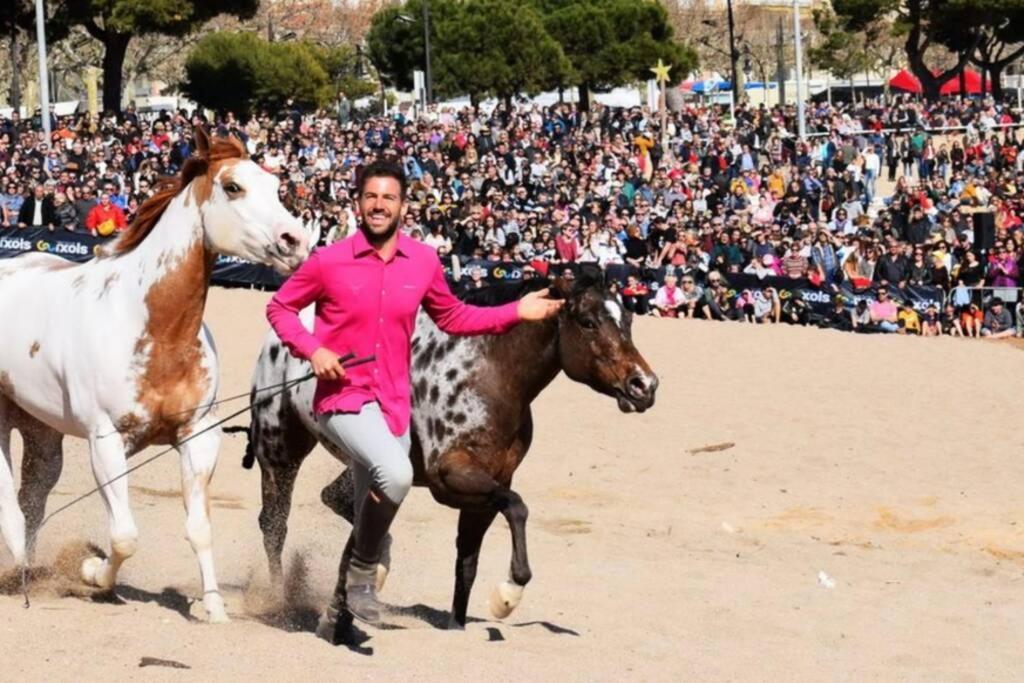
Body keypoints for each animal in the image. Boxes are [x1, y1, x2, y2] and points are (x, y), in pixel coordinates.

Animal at [0, 129, 307, 626]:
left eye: (277, 185)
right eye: (233, 187)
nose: (295, 241)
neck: (156, 330)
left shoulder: (198, 435)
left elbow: (199, 528)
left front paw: (214, 607)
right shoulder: (105, 441)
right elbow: (124, 535)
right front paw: (91, 572)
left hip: (42, 429)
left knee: (35, 495)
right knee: (11, 503)